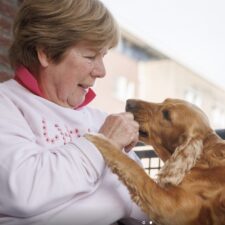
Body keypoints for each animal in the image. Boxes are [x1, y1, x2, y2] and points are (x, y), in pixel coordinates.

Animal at [85, 98, 225, 225]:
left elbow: (134, 168)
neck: (203, 161)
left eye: (166, 114)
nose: (128, 102)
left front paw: (102, 140)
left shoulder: (171, 206)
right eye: (164, 101)